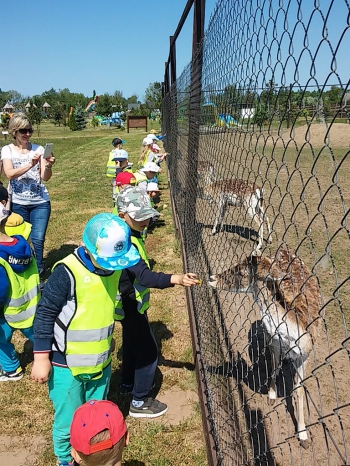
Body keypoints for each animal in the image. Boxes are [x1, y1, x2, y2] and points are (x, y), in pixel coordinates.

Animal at [209, 249, 322, 450]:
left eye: (241, 272)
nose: (212, 278)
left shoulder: (305, 355)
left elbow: (299, 390)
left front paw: (303, 436)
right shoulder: (273, 339)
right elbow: (274, 364)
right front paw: (271, 394)